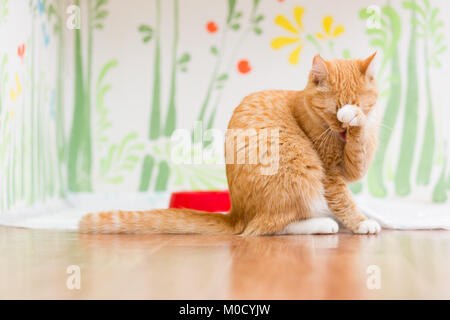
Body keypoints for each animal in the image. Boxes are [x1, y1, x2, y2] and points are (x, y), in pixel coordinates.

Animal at [80, 53, 380, 235]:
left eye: (362, 104)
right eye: (333, 111)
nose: (344, 126)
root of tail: (236, 214)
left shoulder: (353, 164)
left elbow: (361, 147)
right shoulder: (329, 174)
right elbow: (344, 200)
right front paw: (362, 223)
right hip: (299, 169)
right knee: (266, 227)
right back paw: (322, 224)